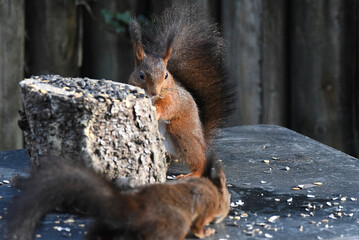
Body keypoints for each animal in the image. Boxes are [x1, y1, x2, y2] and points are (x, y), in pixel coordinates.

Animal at [7, 152, 231, 240]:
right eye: (228, 200)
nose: (225, 213)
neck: (212, 190)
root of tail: (130, 210)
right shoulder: (204, 208)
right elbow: (199, 227)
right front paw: (207, 232)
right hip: (172, 225)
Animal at [129, 5, 236, 178]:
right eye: (141, 75)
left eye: (166, 75)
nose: (154, 92)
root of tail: (202, 142)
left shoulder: (173, 97)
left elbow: (169, 107)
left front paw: (157, 110)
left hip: (181, 132)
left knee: (199, 162)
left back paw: (192, 174)